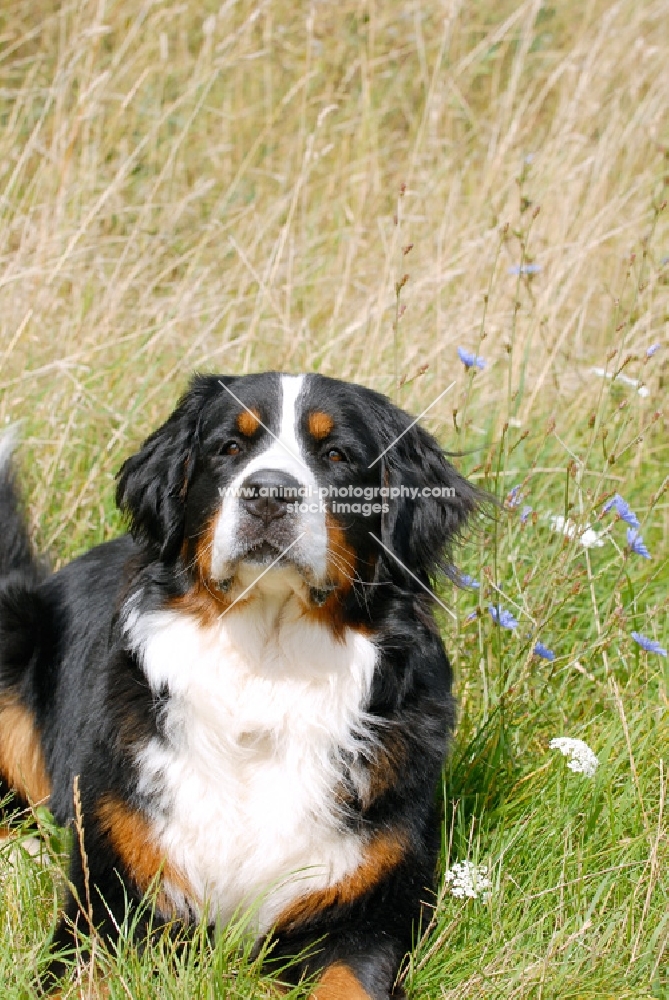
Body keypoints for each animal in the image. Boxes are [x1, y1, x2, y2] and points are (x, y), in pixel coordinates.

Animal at [0, 376, 480, 1000]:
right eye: (230, 447)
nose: (269, 494)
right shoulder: (108, 898)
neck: (266, 668)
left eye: (337, 456)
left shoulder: (367, 911)